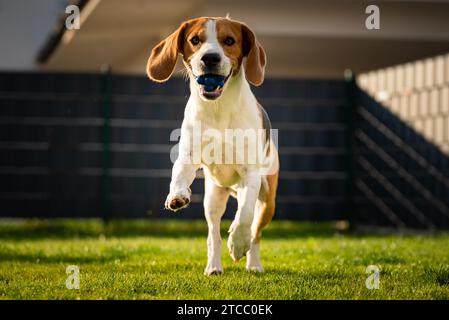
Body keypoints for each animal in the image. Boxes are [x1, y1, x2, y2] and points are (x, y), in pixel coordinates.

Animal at [147, 15, 278, 276]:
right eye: (195, 40)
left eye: (229, 41)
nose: (210, 58)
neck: (218, 108)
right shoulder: (188, 156)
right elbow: (178, 175)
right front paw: (177, 195)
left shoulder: (251, 174)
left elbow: (245, 215)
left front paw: (238, 242)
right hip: (213, 199)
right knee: (213, 235)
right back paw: (214, 266)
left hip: (267, 200)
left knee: (256, 232)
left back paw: (253, 263)